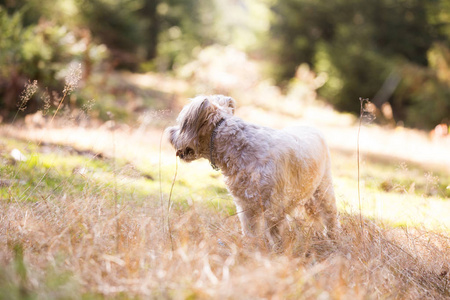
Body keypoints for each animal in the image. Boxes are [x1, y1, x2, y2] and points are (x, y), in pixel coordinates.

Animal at [167, 95, 340, 248]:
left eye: (180, 125)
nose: (168, 132)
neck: (239, 147)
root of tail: (312, 127)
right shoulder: (246, 207)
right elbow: (251, 232)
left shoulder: (273, 208)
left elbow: (274, 234)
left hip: (323, 190)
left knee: (330, 216)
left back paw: (332, 237)